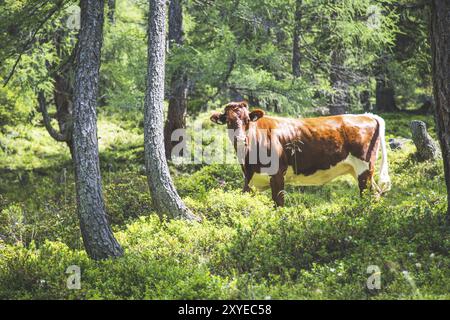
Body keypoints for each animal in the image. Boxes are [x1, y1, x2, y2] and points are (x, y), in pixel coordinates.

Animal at [211, 100, 390, 206]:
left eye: (247, 120)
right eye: (228, 121)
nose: (241, 139)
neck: (249, 160)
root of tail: (367, 116)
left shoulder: (277, 175)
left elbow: (279, 205)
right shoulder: (250, 181)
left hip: (364, 167)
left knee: (368, 195)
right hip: (360, 171)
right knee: (376, 193)